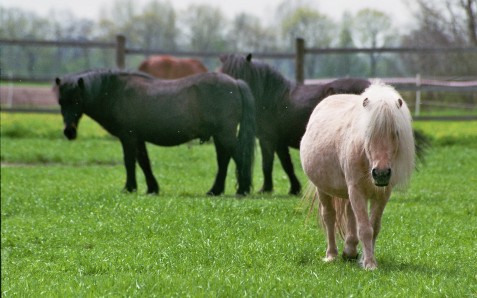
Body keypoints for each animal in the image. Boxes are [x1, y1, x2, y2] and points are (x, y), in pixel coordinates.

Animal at [54, 69, 256, 196]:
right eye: (60, 101)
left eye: (77, 100)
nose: (69, 132)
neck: (115, 92)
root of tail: (235, 83)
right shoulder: (138, 138)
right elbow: (144, 162)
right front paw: (152, 188)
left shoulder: (128, 137)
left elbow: (129, 162)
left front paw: (129, 188)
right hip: (219, 136)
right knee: (224, 160)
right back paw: (215, 190)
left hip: (225, 134)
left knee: (238, 157)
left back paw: (242, 189)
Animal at [218, 53, 370, 194]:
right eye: (225, 72)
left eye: (242, 73)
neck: (270, 97)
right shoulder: (279, 143)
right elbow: (286, 164)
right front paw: (294, 188)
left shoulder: (267, 139)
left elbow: (267, 164)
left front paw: (266, 188)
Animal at [302, 79, 412, 270]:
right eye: (368, 132)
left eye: (396, 133)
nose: (381, 173)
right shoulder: (356, 189)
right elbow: (365, 229)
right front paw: (369, 264)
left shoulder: (382, 194)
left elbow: (373, 227)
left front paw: (367, 258)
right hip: (323, 189)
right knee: (329, 216)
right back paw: (331, 255)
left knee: (349, 214)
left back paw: (350, 251)